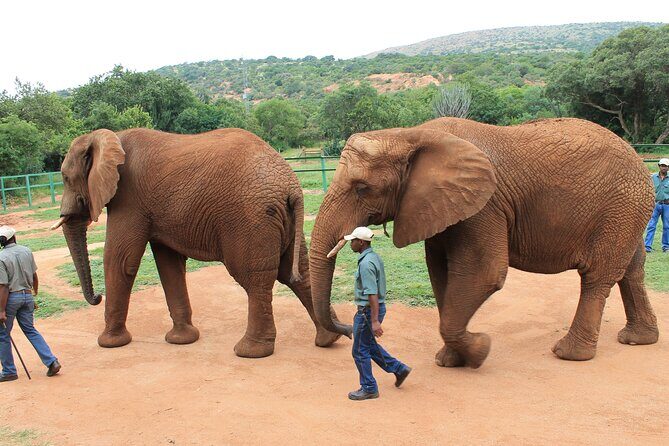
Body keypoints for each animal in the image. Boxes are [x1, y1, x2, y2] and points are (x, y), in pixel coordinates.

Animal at [53, 127, 343, 357]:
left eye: (65, 178)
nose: (97, 297)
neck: (108, 137)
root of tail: (291, 185)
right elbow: (168, 264)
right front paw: (182, 340)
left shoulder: (129, 199)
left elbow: (121, 260)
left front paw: (110, 343)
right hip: (284, 219)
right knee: (297, 273)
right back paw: (328, 339)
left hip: (251, 218)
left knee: (254, 278)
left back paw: (250, 352)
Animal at [311, 117, 659, 369]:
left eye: (362, 188)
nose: (345, 330)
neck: (409, 135)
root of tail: (641, 162)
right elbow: (441, 274)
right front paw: (451, 360)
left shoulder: (485, 205)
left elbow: (484, 273)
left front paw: (480, 349)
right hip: (629, 211)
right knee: (632, 271)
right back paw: (637, 339)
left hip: (620, 208)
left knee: (597, 277)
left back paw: (569, 354)